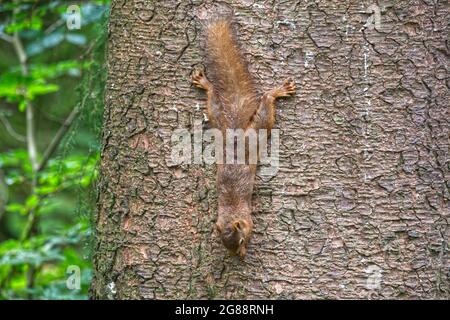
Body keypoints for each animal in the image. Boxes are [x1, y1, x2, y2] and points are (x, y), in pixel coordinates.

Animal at [192, 16, 298, 258]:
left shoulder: (248, 221)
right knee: (214, 103)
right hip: (219, 124)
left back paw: (276, 91)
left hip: (257, 131)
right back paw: (206, 84)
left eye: (240, 240)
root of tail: (235, 131)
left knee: (266, 106)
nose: (238, 255)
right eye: (226, 245)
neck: (232, 213)